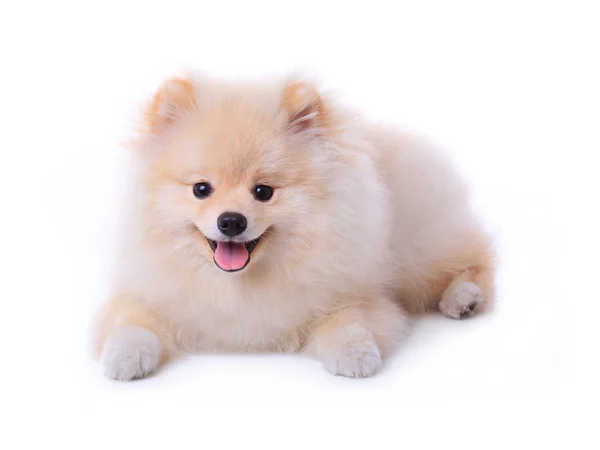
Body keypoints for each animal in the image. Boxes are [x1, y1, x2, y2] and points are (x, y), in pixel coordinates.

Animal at [95, 73, 496, 380]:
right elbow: (130, 322)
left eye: (263, 191)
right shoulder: (148, 292)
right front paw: (124, 356)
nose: (231, 220)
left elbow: (348, 318)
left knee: (477, 256)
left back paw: (464, 297)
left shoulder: (353, 292)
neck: (236, 287)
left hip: (420, 247)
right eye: (201, 189)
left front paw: (355, 353)